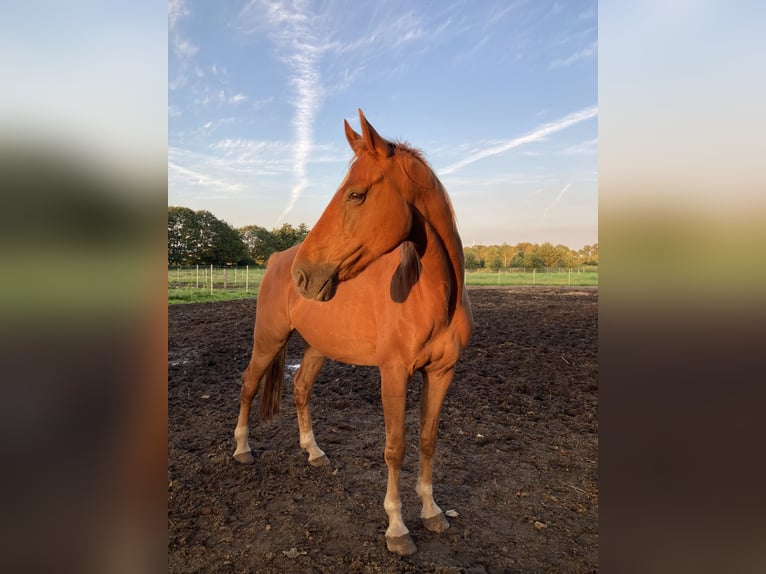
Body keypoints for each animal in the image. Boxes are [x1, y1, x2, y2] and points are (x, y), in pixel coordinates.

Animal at [234, 109, 474, 560]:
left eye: (356, 195)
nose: (304, 276)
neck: (432, 295)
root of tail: (276, 260)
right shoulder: (393, 373)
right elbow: (395, 446)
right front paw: (397, 527)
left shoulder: (442, 373)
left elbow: (428, 439)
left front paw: (432, 511)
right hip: (268, 341)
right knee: (248, 384)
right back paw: (241, 449)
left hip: (317, 347)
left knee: (300, 387)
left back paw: (314, 452)